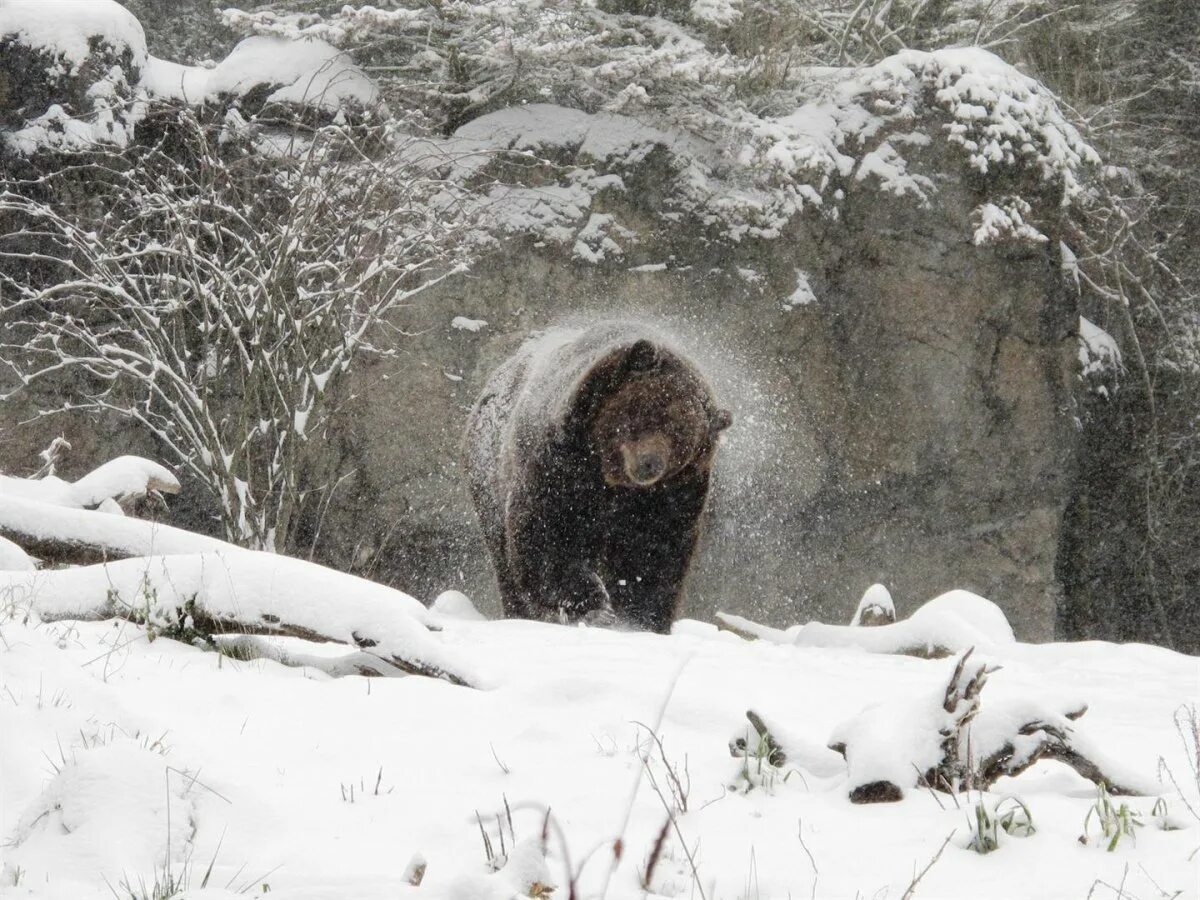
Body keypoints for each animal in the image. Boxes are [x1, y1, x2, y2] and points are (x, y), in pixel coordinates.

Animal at [465, 324, 729, 633]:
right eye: (651, 413)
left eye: (682, 440)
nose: (649, 465)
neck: (610, 476)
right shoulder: (561, 460)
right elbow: (551, 532)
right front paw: (593, 607)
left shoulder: (673, 492)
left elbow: (653, 549)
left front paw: (639, 618)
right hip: (488, 473)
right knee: (503, 557)